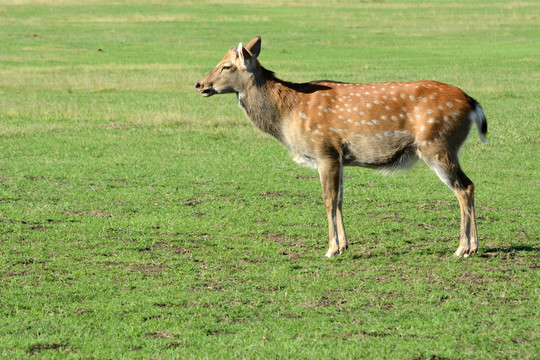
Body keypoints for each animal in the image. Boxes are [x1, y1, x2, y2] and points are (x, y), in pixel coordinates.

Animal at [196, 36, 488, 258]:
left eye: (225, 67)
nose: (200, 84)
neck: (288, 114)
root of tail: (472, 103)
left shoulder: (324, 150)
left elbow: (327, 200)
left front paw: (331, 249)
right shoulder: (340, 158)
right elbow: (339, 200)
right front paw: (344, 246)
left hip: (437, 144)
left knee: (464, 187)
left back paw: (463, 249)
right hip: (444, 147)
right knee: (469, 185)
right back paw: (471, 247)